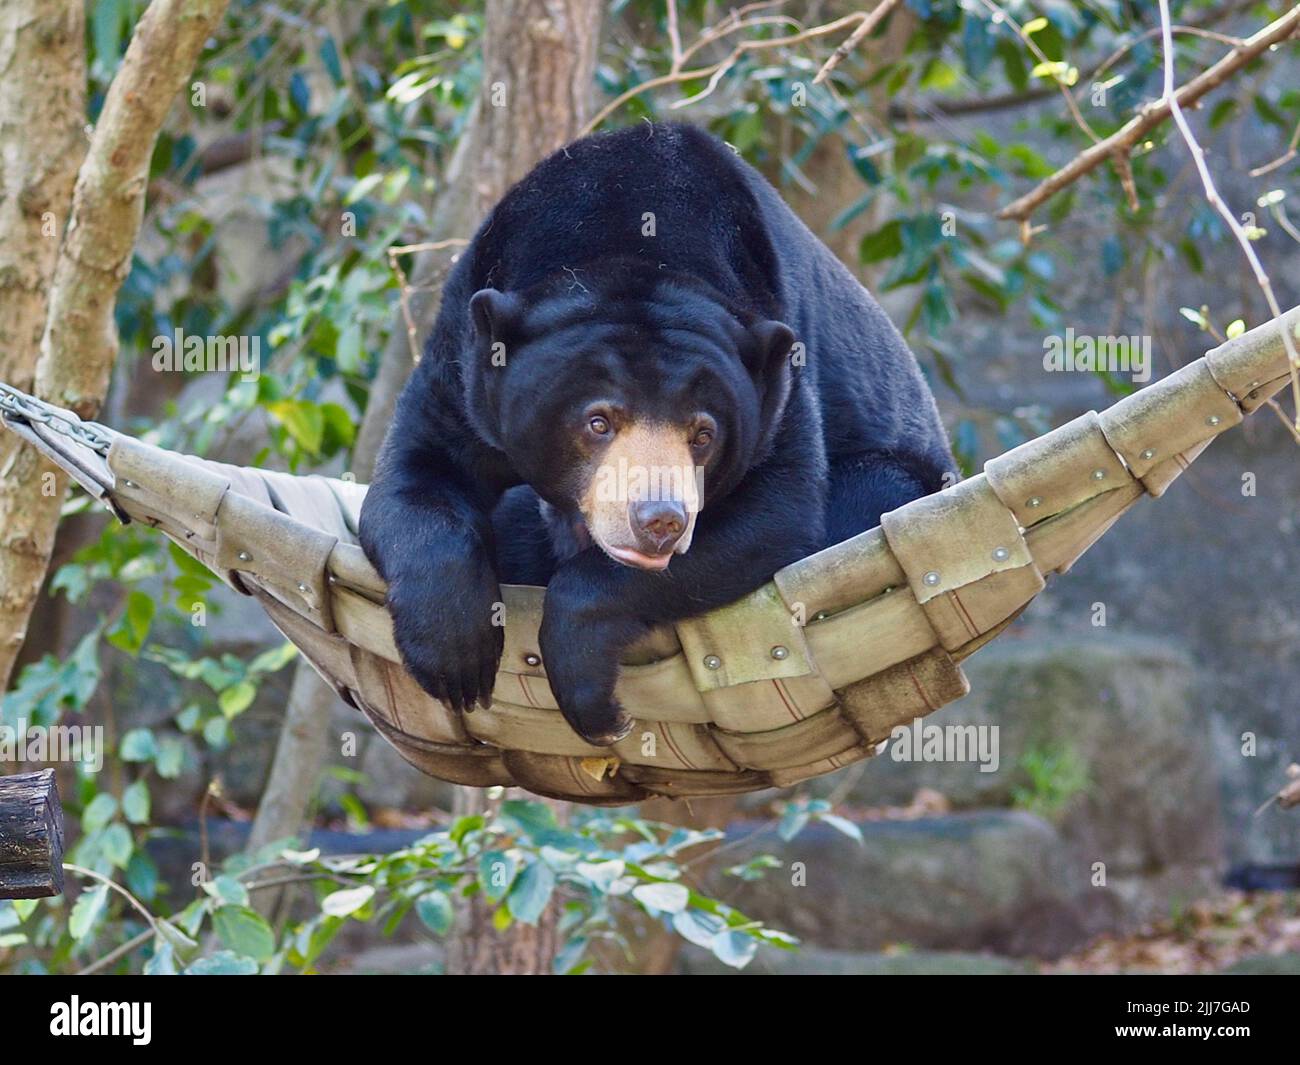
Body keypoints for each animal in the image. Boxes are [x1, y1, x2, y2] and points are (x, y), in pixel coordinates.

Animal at [359, 121, 954, 746]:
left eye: (703, 434)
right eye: (597, 422)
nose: (660, 522)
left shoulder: (780, 368)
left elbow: (774, 512)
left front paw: (597, 706)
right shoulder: (464, 350)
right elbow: (420, 472)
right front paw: (457, 661)